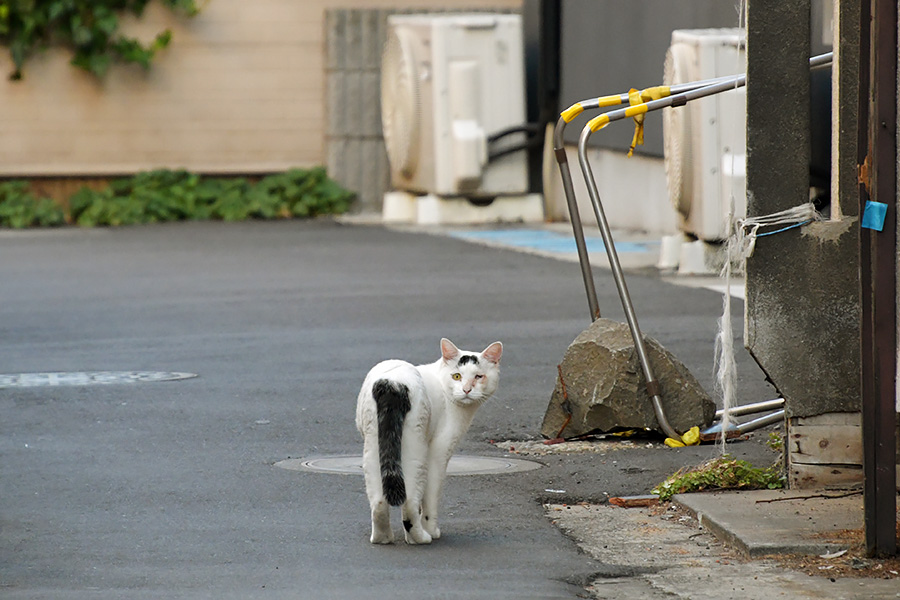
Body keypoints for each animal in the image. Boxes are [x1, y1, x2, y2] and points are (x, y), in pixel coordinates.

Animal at [356, 338, 502, 544]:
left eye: (479, 376)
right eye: (456, 376)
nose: (466, 390)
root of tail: (393, 383)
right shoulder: (438, 452)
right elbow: (431, 497)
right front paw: (431, 529)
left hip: (374, 448)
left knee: (378, 501)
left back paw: (382, 537)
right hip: (414, 451)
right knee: (409, 501)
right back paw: (420, 537)